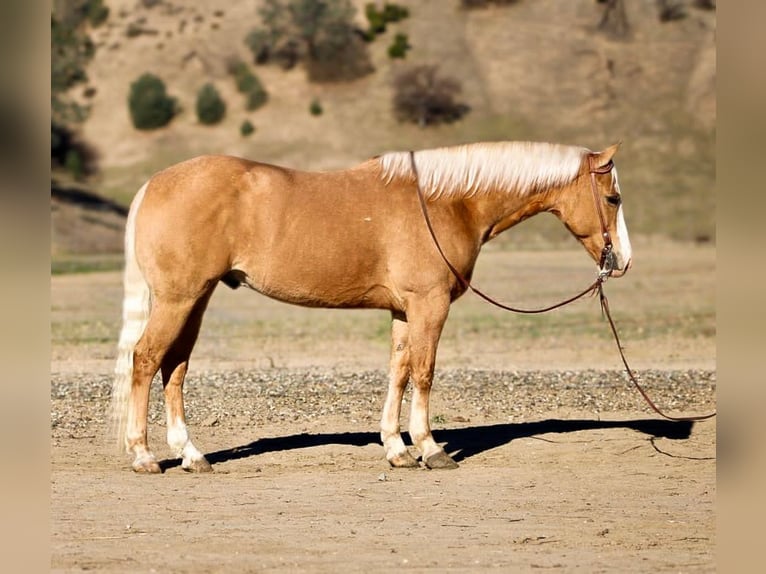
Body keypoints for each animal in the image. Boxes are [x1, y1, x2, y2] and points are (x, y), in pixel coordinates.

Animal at [111, 142, 632, 474]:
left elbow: (398, 372)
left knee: (174, 368)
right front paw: (430, 448)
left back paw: (192, 455)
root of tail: (154, 184)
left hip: (195, 300)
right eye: (613, 197)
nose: (622, 261)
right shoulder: (429, 305)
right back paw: (144, 456)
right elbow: (424, 372)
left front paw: (397, 449)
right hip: (179, 299)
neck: (447, 202)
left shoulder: (404, 311)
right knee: (146, 360)